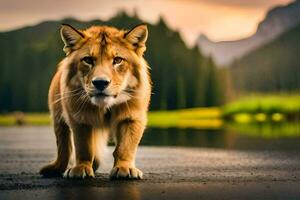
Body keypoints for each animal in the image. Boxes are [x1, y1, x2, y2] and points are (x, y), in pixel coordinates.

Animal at [39, 23, 151, 180]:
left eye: (117, 60)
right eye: (88, 60)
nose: (100, 82)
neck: (105, 107)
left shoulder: (132, 117)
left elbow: (126, 147)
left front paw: (125, 168)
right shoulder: (79, 119)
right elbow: (83, 147)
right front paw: (81, 168)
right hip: (58, 119)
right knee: (63, 147)